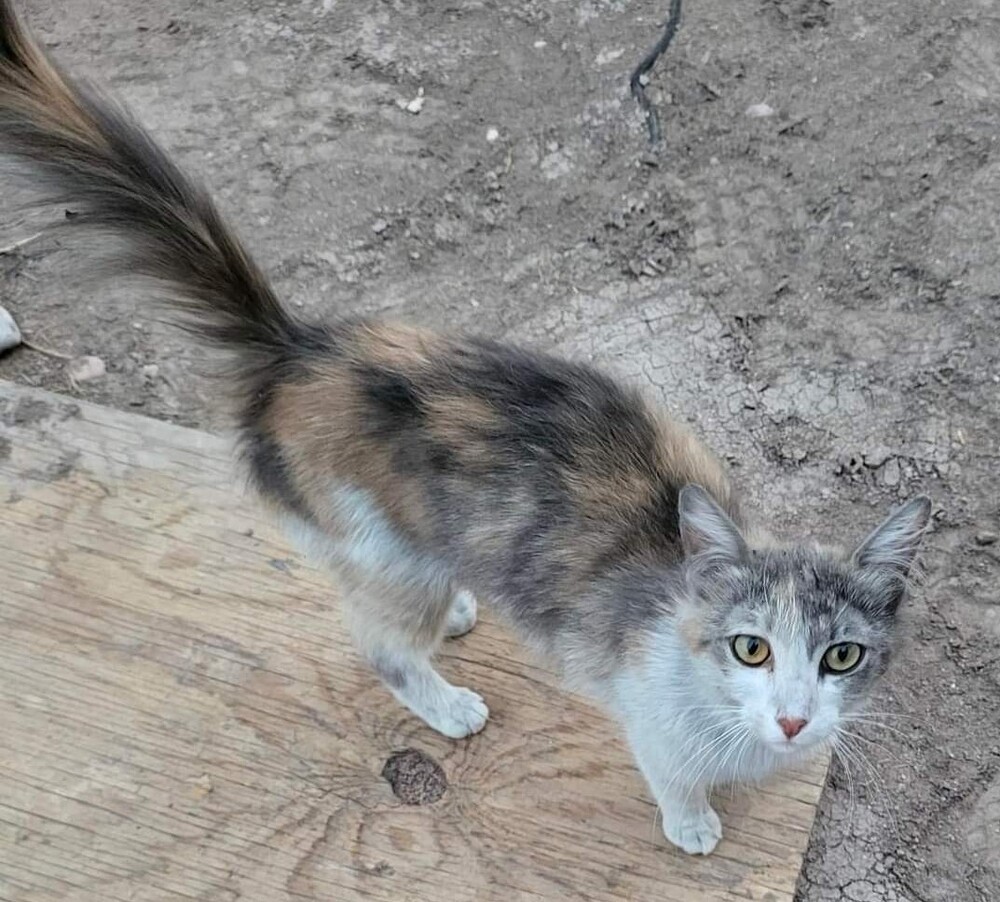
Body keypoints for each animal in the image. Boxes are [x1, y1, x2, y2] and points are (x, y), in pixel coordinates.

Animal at [0, 0, 928, 860]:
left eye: (841, 657)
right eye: (751, 650)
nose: (796, 723)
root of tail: (300, 347)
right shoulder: (649, 710)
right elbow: (672, 772)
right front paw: (693, 821)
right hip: (380, 544)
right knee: (380, 645)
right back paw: (445, 702)